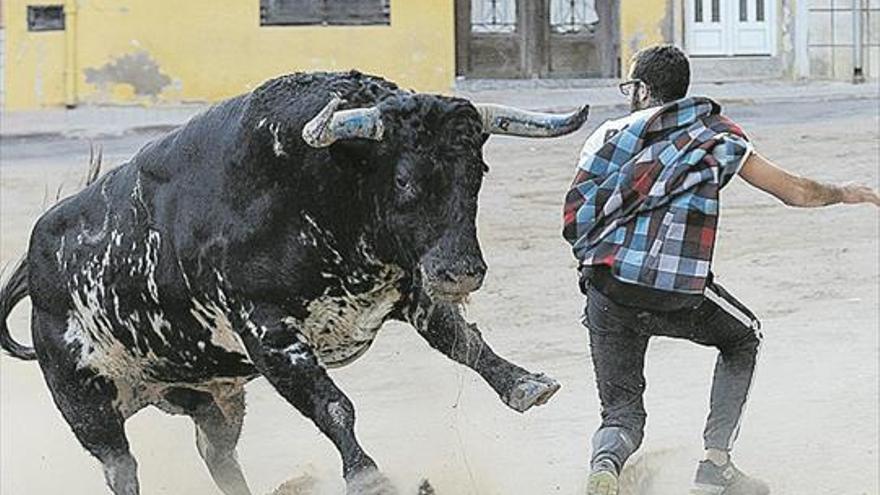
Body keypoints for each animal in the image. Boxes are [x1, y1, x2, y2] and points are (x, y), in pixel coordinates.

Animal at [1, 71, 592, 494]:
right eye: (404, 179)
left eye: (477, 172)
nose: (461, 271)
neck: (324, 185)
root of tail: (36, 259)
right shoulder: (270, 335)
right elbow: (333, 406)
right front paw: (369, 476)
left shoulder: (405, 286)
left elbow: (462, 340)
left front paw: (525, 384)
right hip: (88, 406)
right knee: (121, 467)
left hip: (213, 396)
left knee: (217, 455)